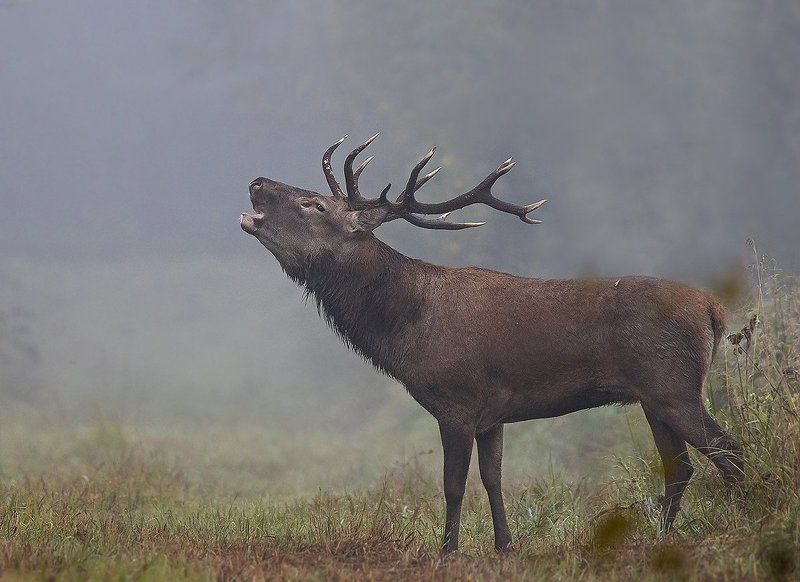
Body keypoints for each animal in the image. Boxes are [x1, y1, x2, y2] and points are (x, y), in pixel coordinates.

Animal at [240, 133, 744, 553]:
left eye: (313, 204)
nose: (257, 181)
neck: (404, 330)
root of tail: (714, 310)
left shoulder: (456, 401)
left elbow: (453, 485)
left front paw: (448, 550)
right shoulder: (493, 415)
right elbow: (493, 479)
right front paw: (505, 545)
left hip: (672, 385)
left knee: (728, 450)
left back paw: (743, 519)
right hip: (653, 397)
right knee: (680, 467)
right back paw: (661, 538)